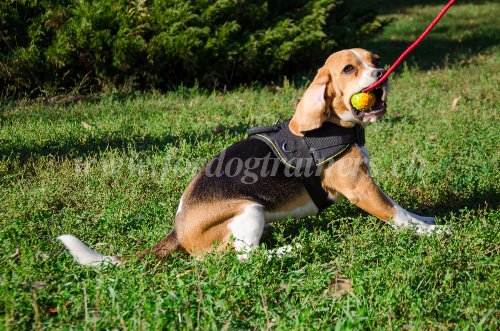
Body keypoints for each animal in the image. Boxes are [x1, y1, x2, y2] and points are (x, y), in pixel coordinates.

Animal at [59, 48, 446, 268]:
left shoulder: (368, 183)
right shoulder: (360, 187)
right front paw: (435, 232)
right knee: (245, 258)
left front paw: (426, 220)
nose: (382, 73)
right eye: (349, 69)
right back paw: (289, 250)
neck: (334, 125)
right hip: (249, 210)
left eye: (376, 61)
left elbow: (403, 209)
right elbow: (395, 214)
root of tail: (178, 231)